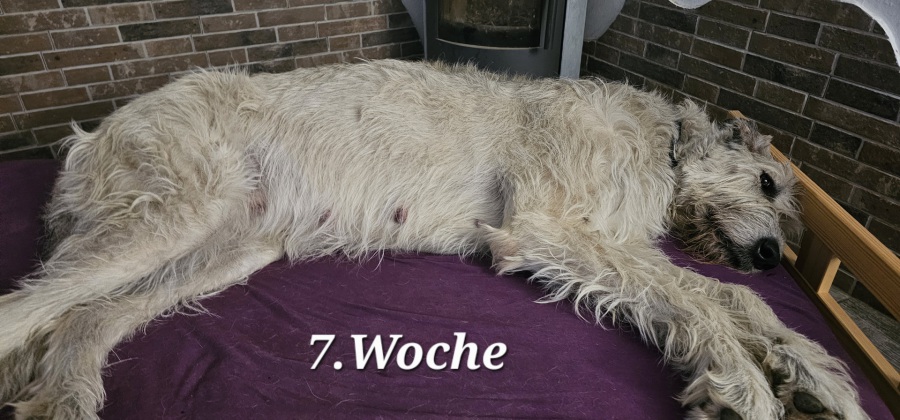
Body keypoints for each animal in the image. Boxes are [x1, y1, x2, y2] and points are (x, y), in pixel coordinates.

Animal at [0, 59, 866, 419]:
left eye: (789, 215)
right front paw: (744, 384)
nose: (773, 257)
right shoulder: (546, 225)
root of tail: (92, 133)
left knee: (85, 316)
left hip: (227, 247)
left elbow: (718, 294)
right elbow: (699, 303)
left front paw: (817, 373)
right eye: (768, 185)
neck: (664, 143)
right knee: (26, 309)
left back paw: (67, 394)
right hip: (168, 216)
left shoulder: (612, 240)